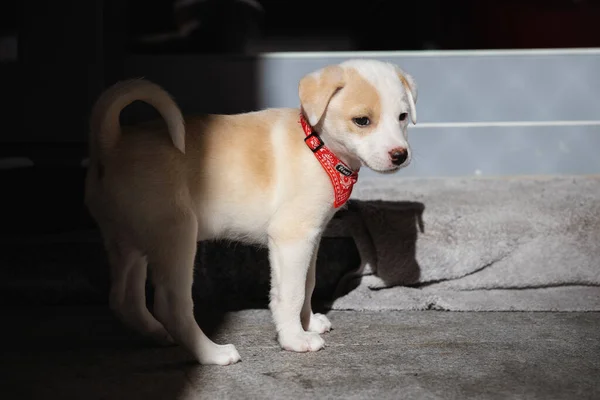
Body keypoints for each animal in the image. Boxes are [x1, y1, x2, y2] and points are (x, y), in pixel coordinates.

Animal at [85, 58, 418, 366]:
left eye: (402, 117)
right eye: (362, 120)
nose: (399, 155)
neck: (317, 147)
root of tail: (112, 142)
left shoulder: (310, 239)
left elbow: (307, 284)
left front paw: (309, 323)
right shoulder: (290, 238)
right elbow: (291, 293)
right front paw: (295, 339)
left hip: (128, 241)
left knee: (123, 299)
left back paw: (156, 333)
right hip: (176, 235)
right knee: (170, 305)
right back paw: (213, 354)